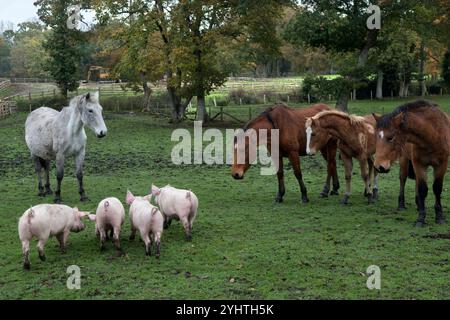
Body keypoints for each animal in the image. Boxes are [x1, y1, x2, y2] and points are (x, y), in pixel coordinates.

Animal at [372, 100, 450, 228]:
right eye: (376, 137)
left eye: (391, 138)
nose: (379, 166)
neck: (432, 134)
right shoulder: (419, 164)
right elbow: (423, 189)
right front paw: (421, 219)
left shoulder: (442, 164)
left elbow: (437, 188)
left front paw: (439, 216)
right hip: (404, 160)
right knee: (403, 179)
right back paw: (402, 204)